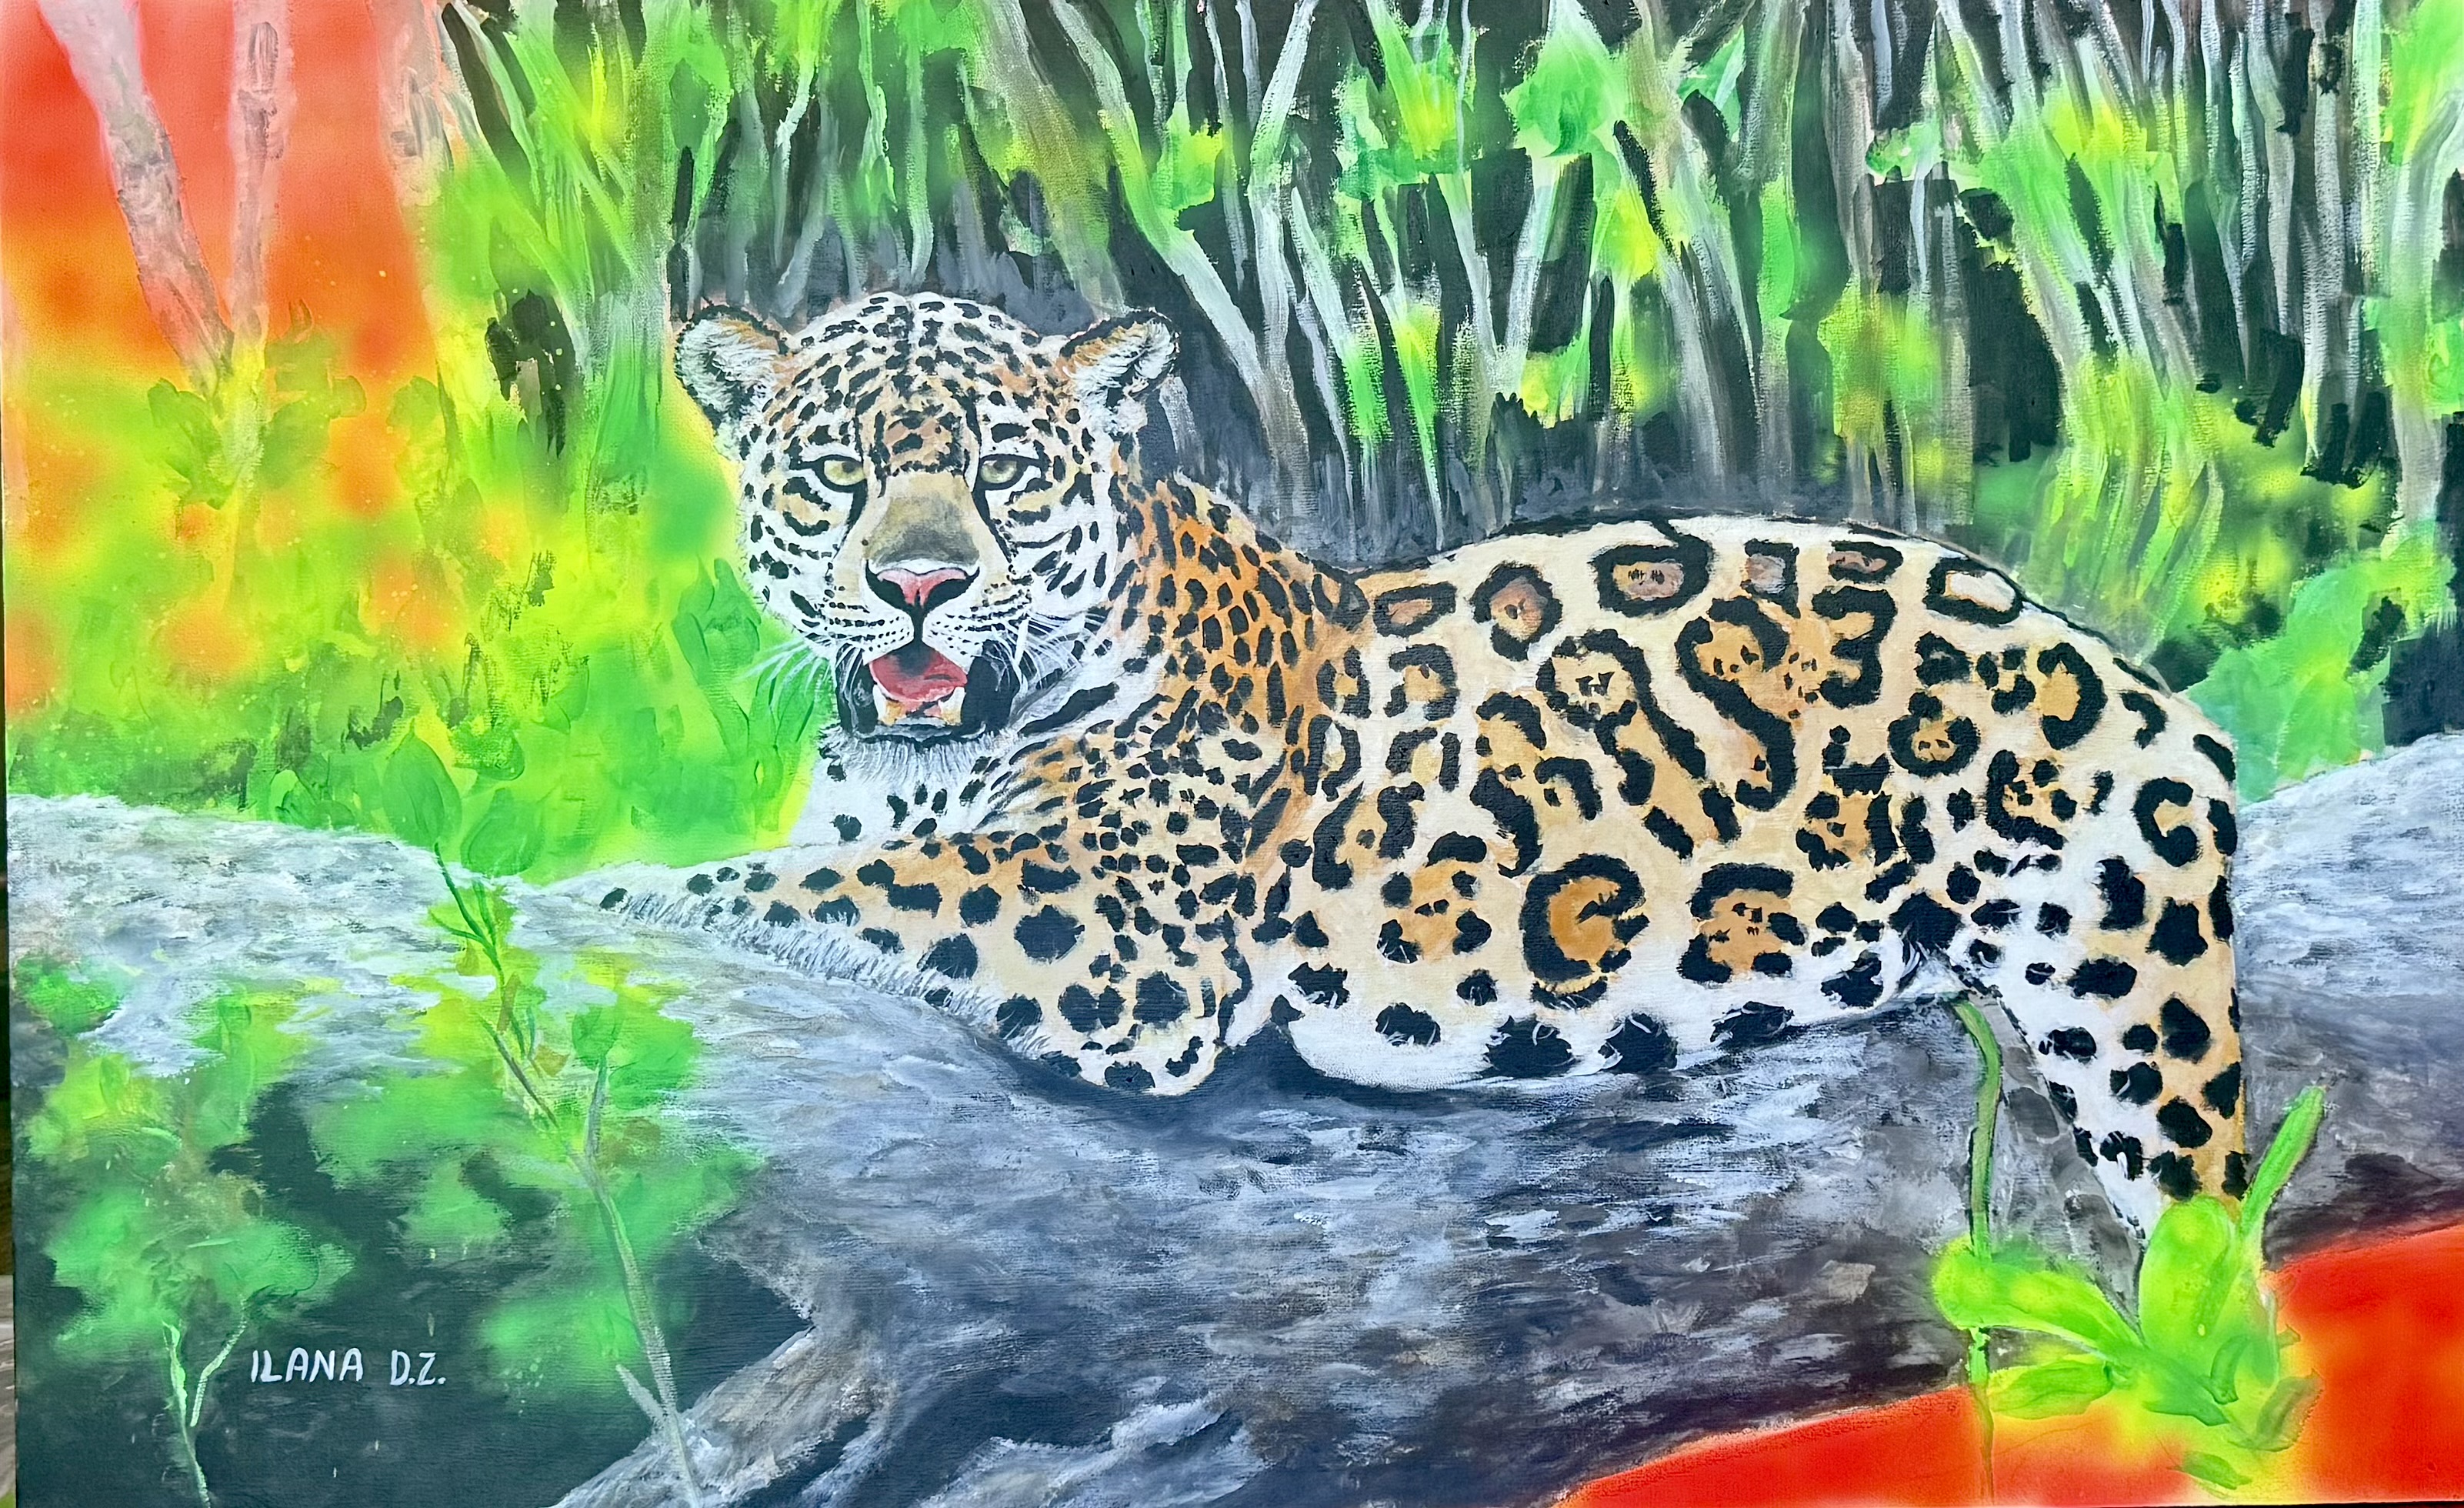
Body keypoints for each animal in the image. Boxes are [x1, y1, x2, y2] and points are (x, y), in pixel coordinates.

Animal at [584, 290, 2247, 1236]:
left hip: (2125, 983)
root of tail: (2096, 654)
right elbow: (814, 865)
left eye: (1001, 476)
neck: (919, 751)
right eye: (835, 475)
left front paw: (602, 898)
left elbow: (812, 886)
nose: (918, 584)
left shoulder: (1113, 926)